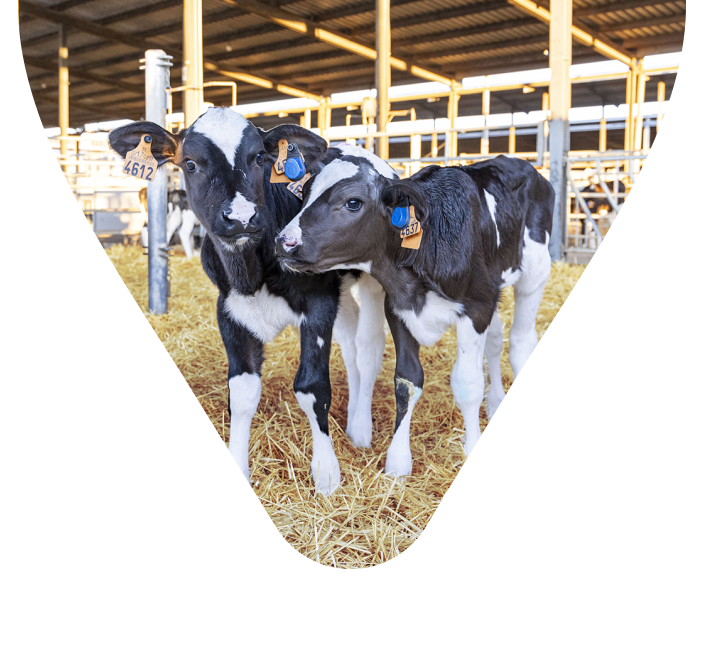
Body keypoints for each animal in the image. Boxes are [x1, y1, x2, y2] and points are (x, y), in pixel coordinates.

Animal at [109, 107, 392, 492]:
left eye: (259, 158)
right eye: (190, 163)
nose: (241, 217)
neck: (252, 274)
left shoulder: (318, 302)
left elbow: (312, 386)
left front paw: (327, 473)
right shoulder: (229, 311)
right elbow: (241, 393)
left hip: (372, 279)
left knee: (368, 348)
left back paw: (361, 428)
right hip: (341, 292)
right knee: (350, 347)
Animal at [276, 154, 552, 474]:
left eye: (353, 202)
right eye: (305, 195)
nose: (284, 241)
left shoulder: (477, 307)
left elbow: (467, 384)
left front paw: (468, 445)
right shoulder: (398, 308)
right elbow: (407, 381)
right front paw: (398, 461)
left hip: (535, 273)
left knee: (520, 342)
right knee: (495, 341)